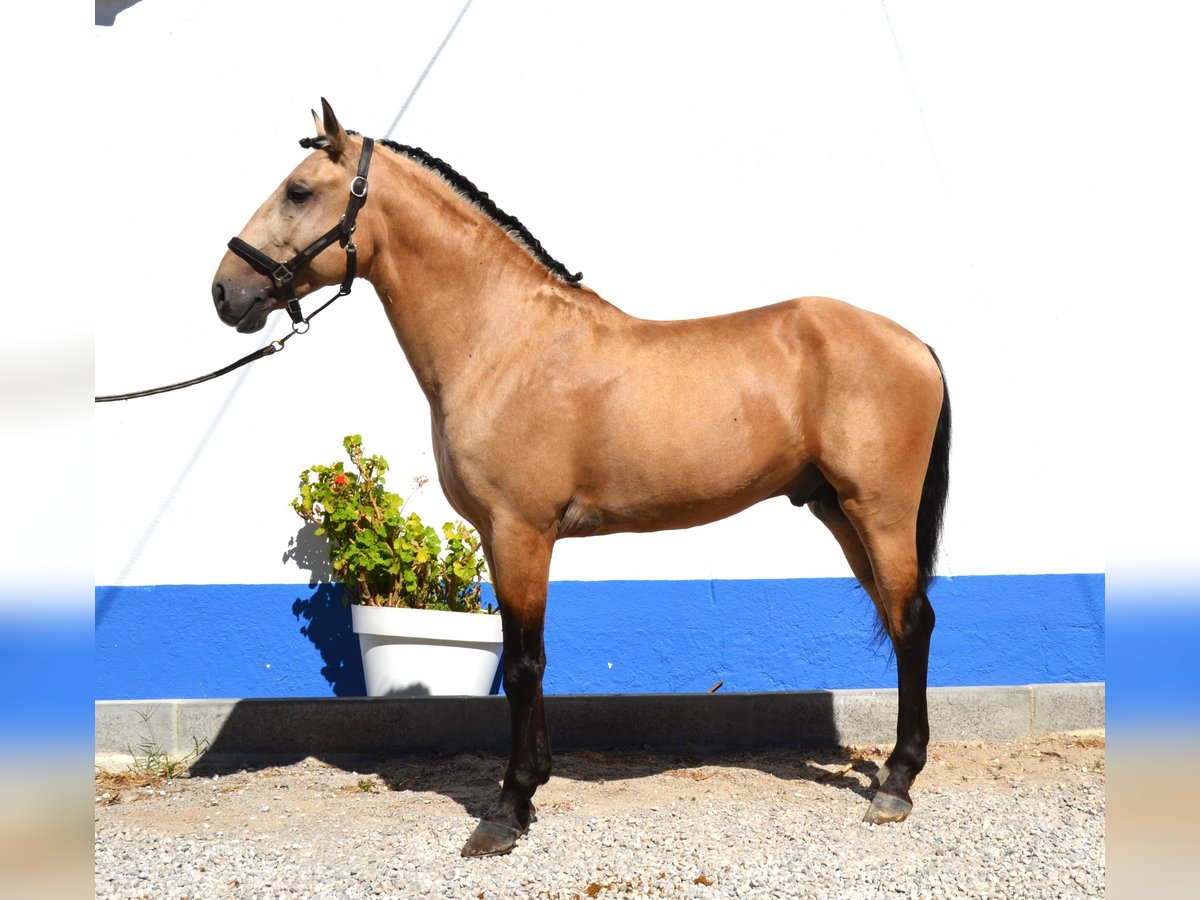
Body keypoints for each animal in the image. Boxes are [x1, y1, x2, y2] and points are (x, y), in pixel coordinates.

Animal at [211, 100, 950, 859]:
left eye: (299, 191)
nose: (224, 291)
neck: (502, 341)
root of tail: (913, 343)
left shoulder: (521, 532)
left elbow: (522, 666)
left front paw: (508, 809)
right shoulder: (504, 537)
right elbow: (528, 659)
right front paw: (530, 788)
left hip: (879, 511)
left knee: (912, 620)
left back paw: (896, 784)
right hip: (838, 510)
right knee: (896, 619)